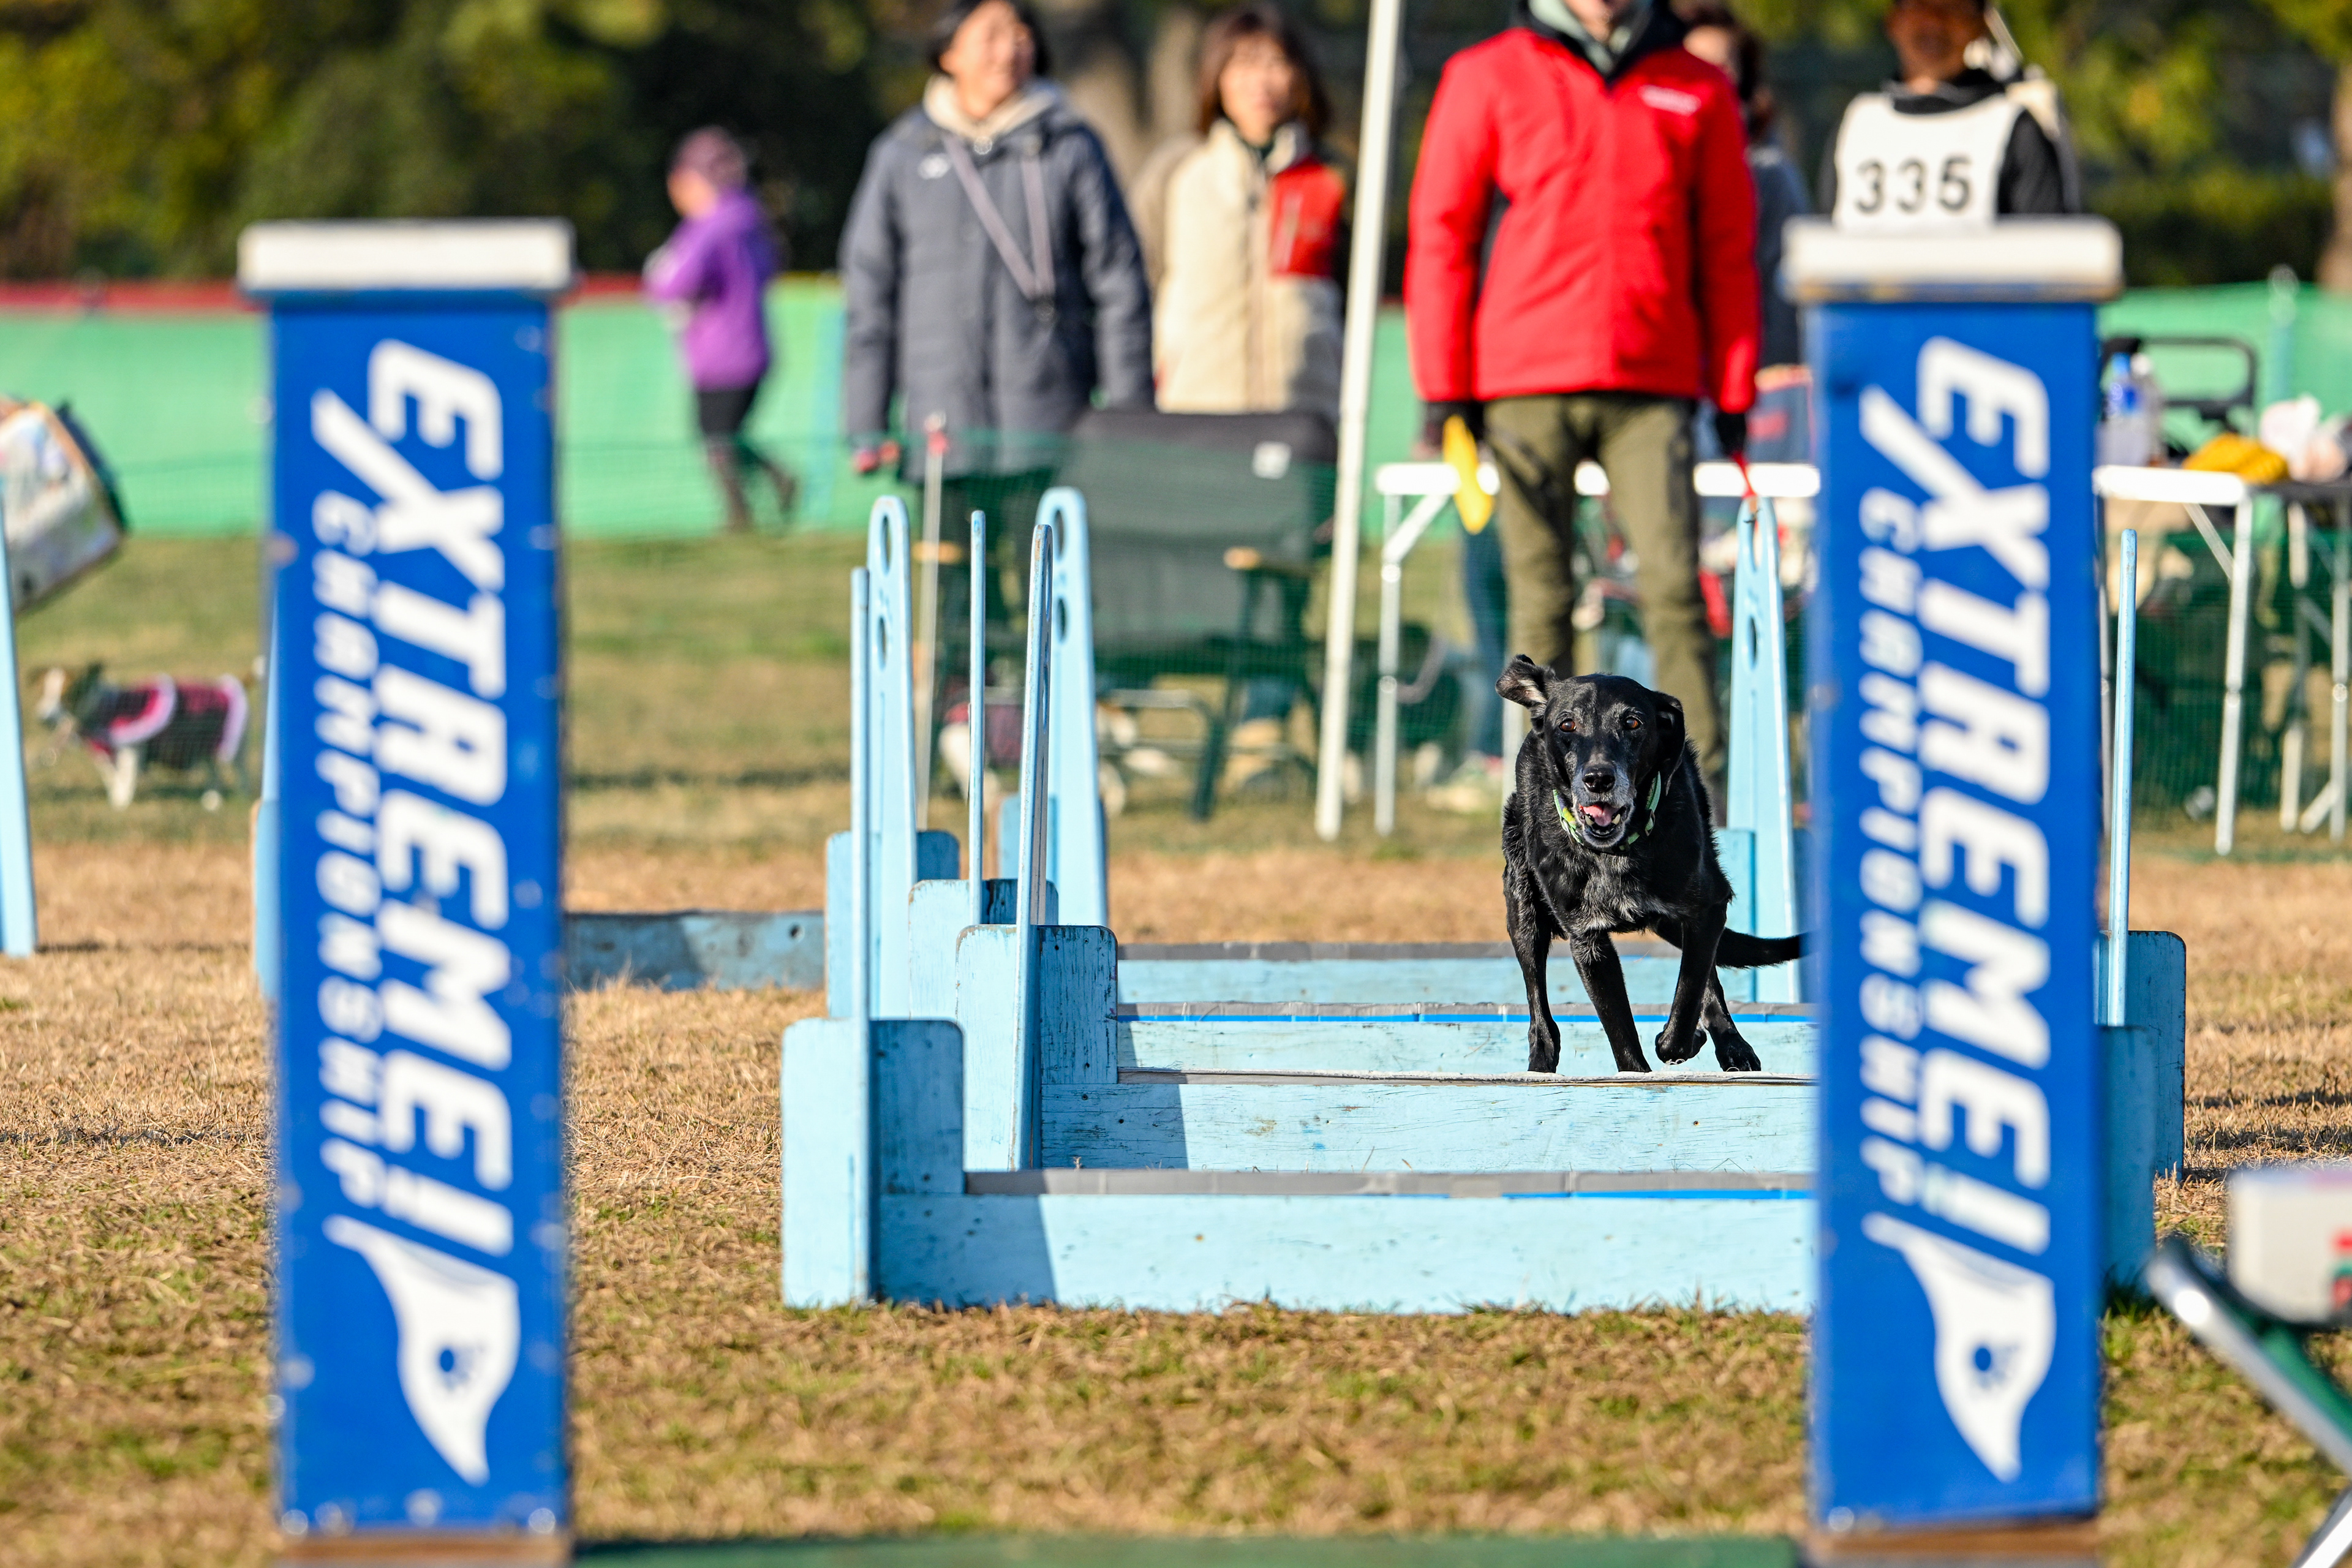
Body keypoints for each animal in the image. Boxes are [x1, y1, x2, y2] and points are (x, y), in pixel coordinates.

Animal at [36, 663, 249, 809]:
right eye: (44, 694)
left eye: (67, 695)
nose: (43, 718)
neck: (104, 707)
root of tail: (227, 688)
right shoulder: (104, 755)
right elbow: (112, 777)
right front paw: (116, 797)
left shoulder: (131, 751)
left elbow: (126, 777)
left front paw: (122, 803)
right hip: (205, 747)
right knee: (215, 773)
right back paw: (213, 799)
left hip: (235, 748)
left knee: (240, 772)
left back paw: (243, 797)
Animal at [1497, 657, 1804, 1074]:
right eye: (1567, 725)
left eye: (1633, 722)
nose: (1598, 779)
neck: (1617, 854)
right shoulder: (1588, 942)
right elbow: (1620, 1032)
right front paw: (1637, 1074)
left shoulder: (1708, 908)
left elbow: (1690, 993)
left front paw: (1681, 1041)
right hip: (1523, 908)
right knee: (1538, 1004)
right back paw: (1539, 1061)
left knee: (1708, 978)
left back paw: (1732, 1045)